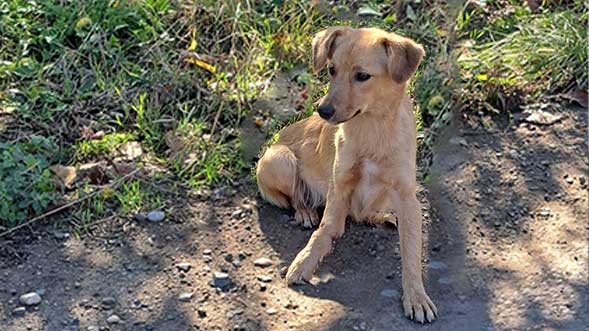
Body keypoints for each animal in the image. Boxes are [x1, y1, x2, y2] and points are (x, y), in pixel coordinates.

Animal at [256, 27, 436, 324]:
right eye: (332, 69)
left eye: (362, 76)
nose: (323, 111)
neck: (372, 129)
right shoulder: (339, 187)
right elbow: (323, 231)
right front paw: (303, 262)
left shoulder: (407, 196)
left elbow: (411, 253)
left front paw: (416, 296)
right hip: (278, 160)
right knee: (297, 196)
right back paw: (305, 212)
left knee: (364, 213)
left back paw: (381, 217)